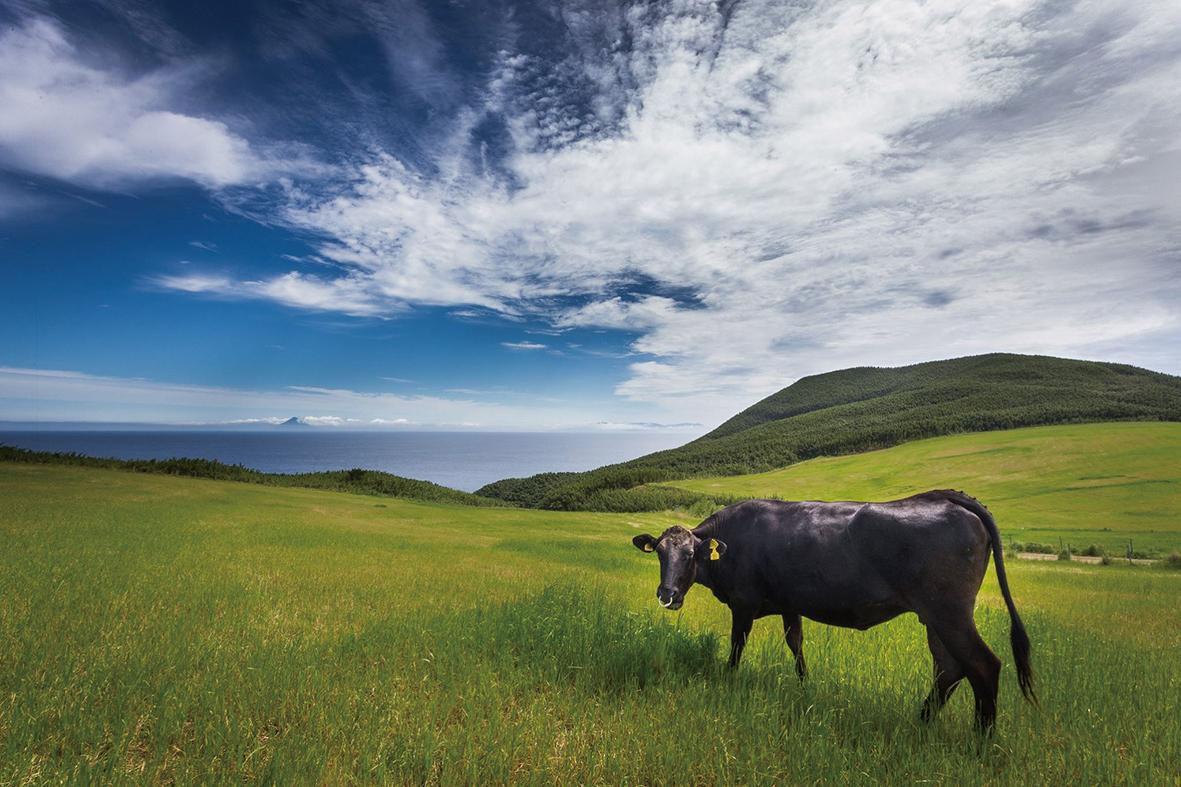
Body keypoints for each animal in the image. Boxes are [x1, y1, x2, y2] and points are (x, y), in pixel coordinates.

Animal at [637, 491, 1034, 727]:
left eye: (690, 555)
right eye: (660, 553)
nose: (666, 594)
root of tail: (950, 499)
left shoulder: (743, 604)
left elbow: (737, 647)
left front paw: (729, 681)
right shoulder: (789, 604)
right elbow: (795, 643)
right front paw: (804, 687)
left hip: (949, 612)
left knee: (982, 665)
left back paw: (981, 742)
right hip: (934, 617)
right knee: (949, 668)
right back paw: (920, 722)